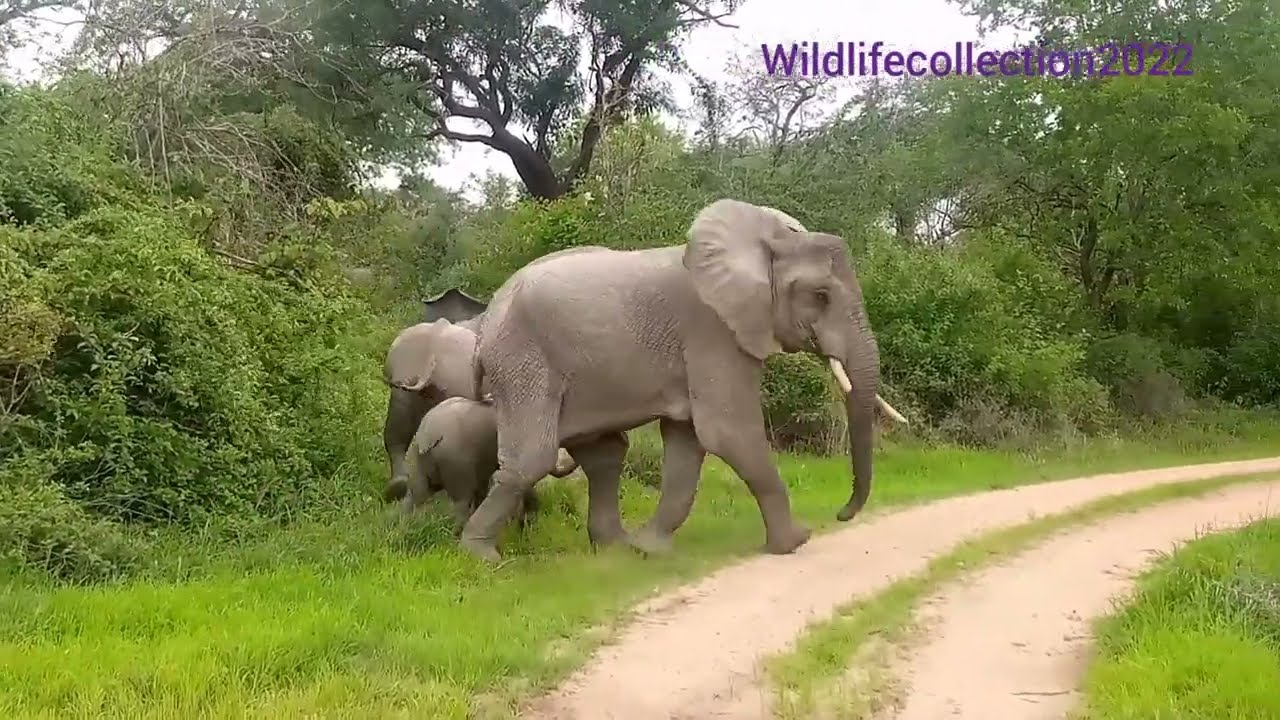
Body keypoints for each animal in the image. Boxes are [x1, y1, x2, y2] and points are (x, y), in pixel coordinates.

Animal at [457, 198, 908, 562]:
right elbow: (727, 432)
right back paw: (481, 556)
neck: (767, 243)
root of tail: (487, 319)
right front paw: (796, 542)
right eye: (821, 296)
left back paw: (618, 547)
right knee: (534, 458)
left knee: (604, 455)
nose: (841, 514)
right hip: (524, 361)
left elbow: (688, 442)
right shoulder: (712, 331)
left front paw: (651, 550)